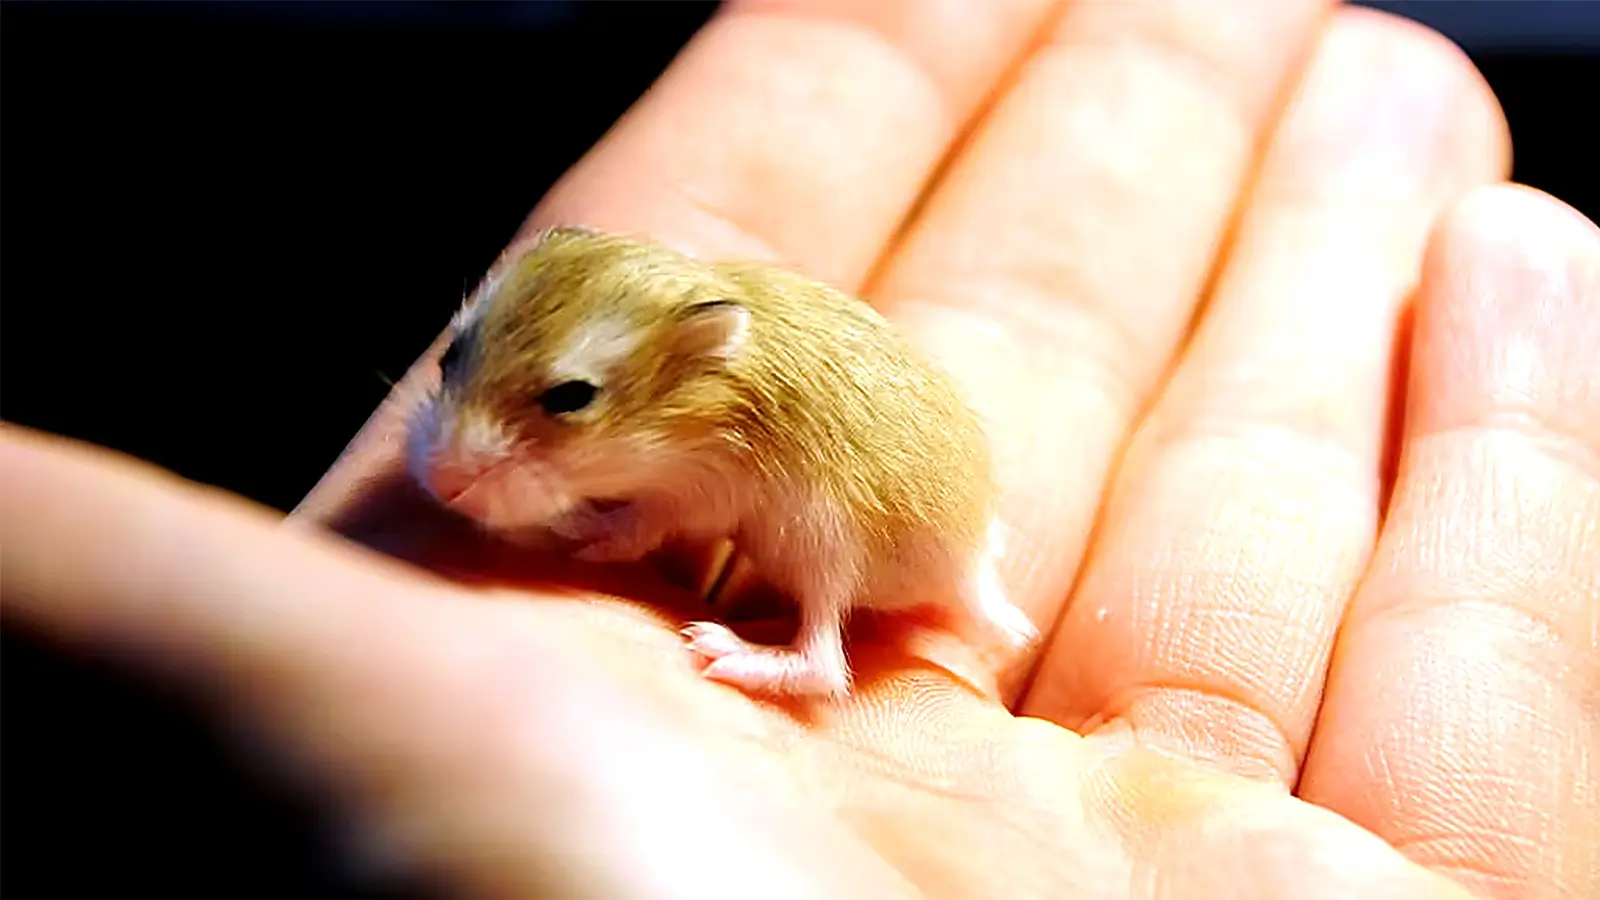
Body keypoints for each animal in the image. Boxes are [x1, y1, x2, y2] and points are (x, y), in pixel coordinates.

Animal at [406, 226, 1037, 698]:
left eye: (572, 396)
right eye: (449, 355)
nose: (440, 483)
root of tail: (968, 569)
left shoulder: (695, 495)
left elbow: (631, 528)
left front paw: (576, 529)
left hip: (823, 541)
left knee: (823, 665)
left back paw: (723, 650)